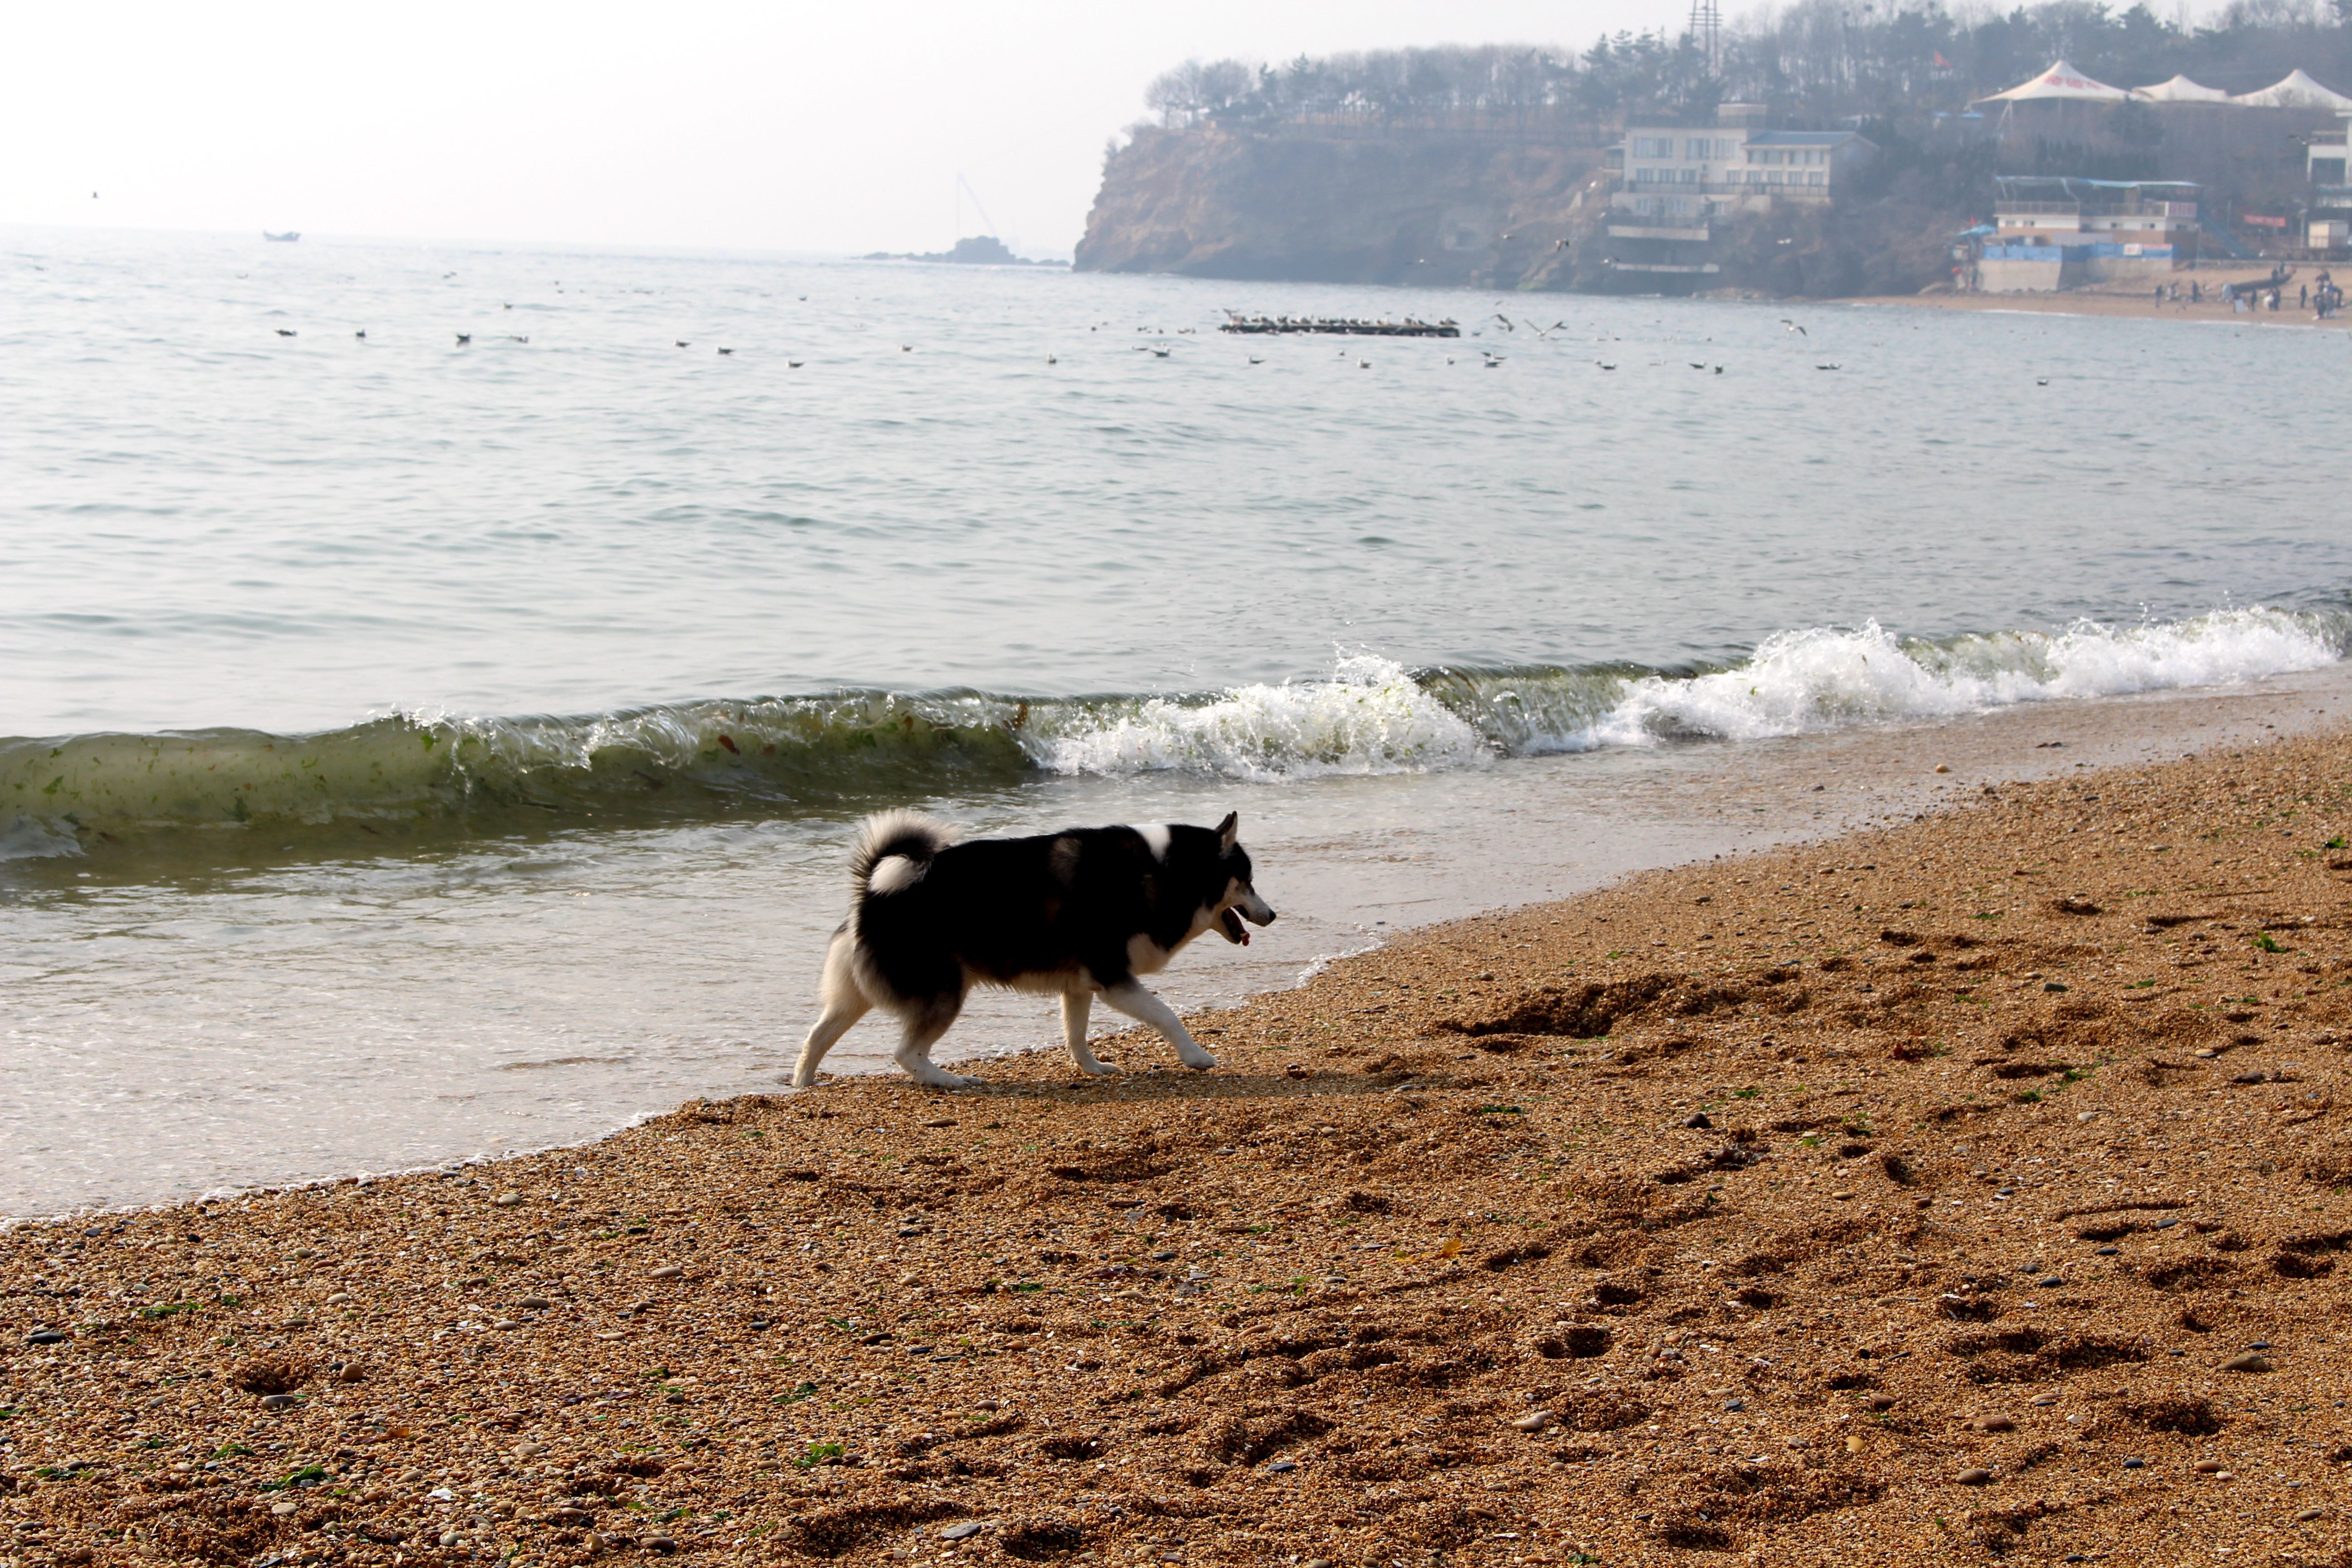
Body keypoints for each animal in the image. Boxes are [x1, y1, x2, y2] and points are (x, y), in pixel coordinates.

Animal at [790, 818, 1279, 1086]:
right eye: (1247, 881)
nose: (1273, 915)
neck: (1164, 872)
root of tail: (873, 895)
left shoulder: (1081, 984)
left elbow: (1076, 1035)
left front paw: (1092, 1068)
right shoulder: (1112, 978)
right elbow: (1167, 1015)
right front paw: (1196, 1057)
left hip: (857, 996)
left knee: (817, 1035)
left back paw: (802, 1083)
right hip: (944, 992)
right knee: (906, 1054)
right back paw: (948, 1079)